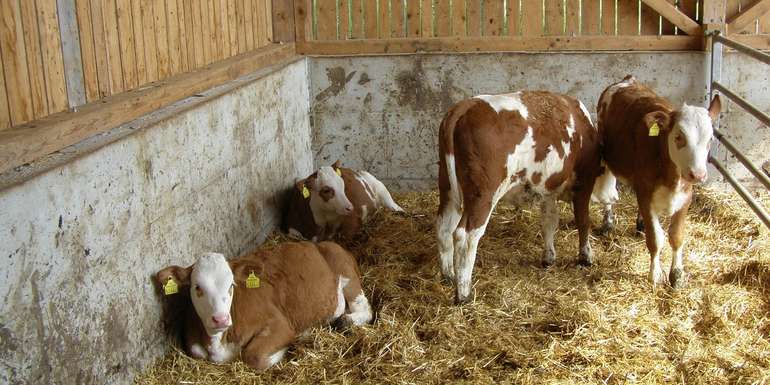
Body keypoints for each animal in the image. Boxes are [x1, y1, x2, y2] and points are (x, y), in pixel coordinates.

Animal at [154, 240, 370, 368]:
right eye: (197, 287)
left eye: (231, 285)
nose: (220, 319)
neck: (218, 342)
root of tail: (320, 243)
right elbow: (197, 352)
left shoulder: (279, 325)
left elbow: (254, 356)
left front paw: (285, 349)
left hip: (346, 274)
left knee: (365, 309)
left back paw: (346, 321)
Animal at [432, 91, 608, 304]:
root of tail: (464, 107)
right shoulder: (584, 181)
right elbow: (583, 220)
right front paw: (585, 256)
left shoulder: (547, 188)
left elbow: (549, 221)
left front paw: (549, 257)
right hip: (483, 195)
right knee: (465, 236)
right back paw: (463, 293)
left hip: (447, 187)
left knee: (443, 227)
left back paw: (449, 275)